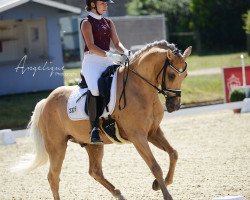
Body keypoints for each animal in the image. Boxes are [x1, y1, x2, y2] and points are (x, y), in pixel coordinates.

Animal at [20, 40, 191, 200]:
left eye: (185, 76)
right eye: (171, 75)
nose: (174, 106)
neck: (139, 88)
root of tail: (46, 101)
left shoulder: (153, 132)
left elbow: (173, 153)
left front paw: (159, 184)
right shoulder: (138, 137)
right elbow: (155, 166)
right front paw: (166, 194)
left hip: (92, 144)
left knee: (95, 171)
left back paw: (118, 194)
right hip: (57, 147)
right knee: (53, 177)